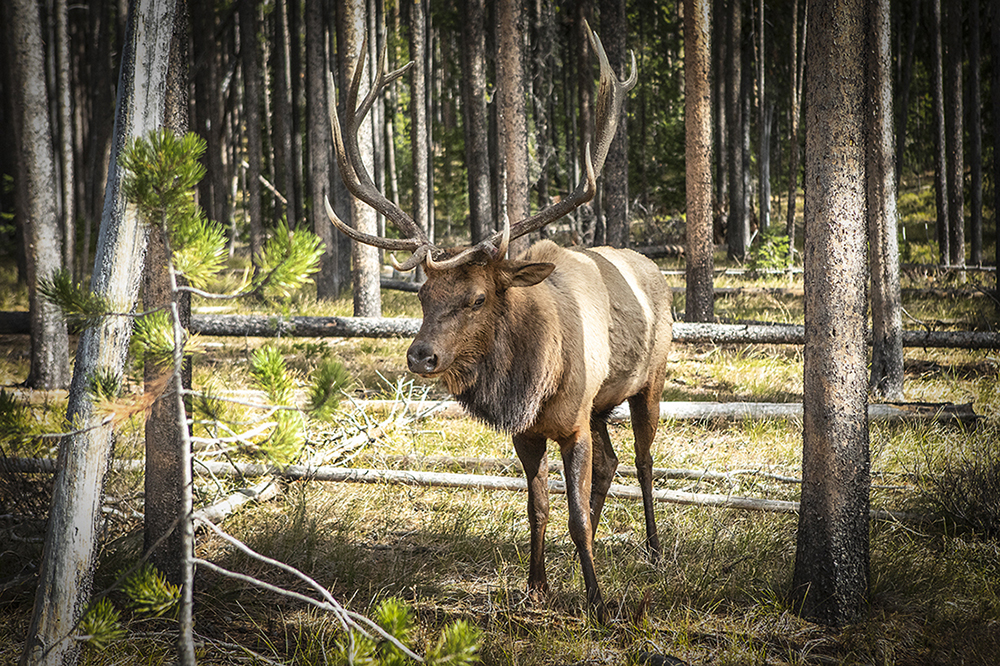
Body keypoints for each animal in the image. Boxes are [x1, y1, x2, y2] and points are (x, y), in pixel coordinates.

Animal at [326, 24, 672, 616]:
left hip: (649, 380)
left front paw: (598, 601)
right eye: (423, 294)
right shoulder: (529, 433)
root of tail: (656, 269)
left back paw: (651, 547)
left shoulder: (573, 422)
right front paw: (537, 587)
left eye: (478, 298)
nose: (421, 356)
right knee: (610, 465)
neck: (534, 382)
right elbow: (540, 509)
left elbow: (574, 515)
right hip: (602, 404)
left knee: (645, 460)